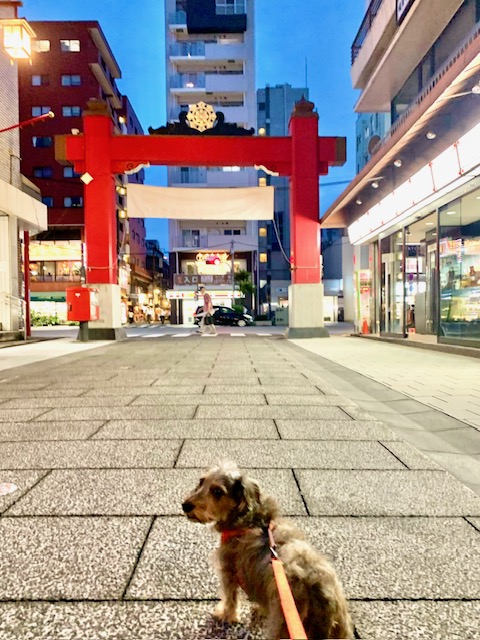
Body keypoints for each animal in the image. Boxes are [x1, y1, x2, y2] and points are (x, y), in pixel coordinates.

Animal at [182, 462, 354, 636]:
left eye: (217, 491)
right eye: (201, 482)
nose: (185, 505)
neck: (249, 520)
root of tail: (324, 597)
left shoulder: (229, 571)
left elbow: (230, 599)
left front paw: (225, 615)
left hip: (281, 626)